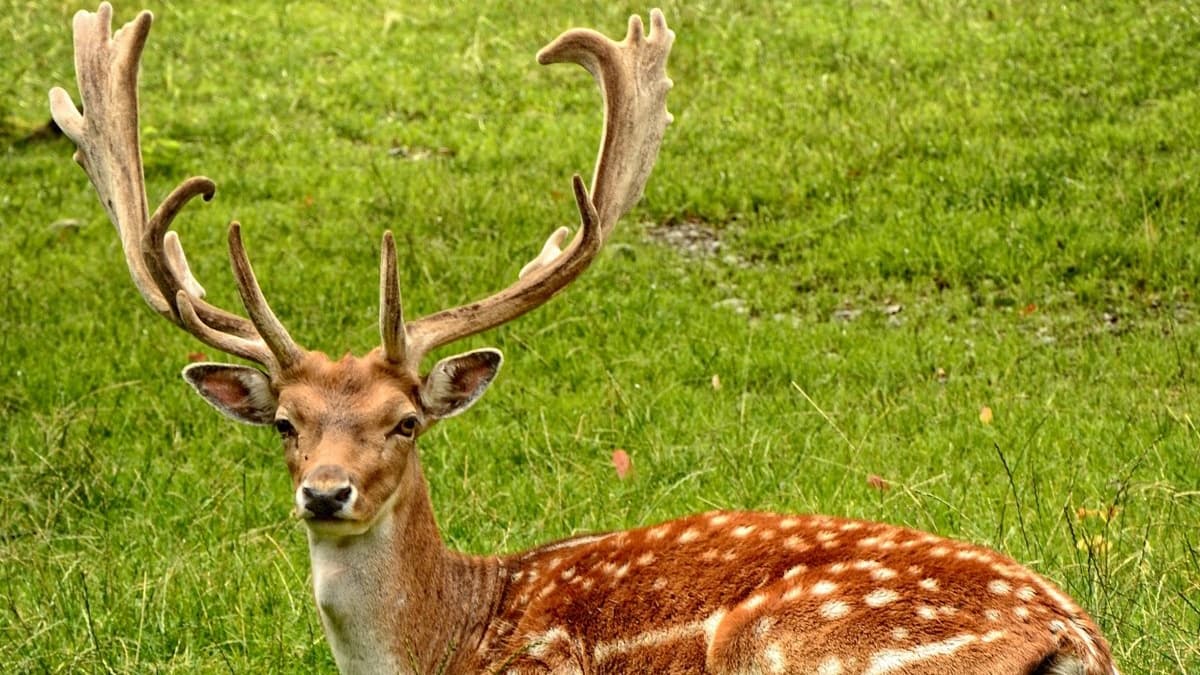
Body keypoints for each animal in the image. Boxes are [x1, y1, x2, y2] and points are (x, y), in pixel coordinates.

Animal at [49, 3, 1119, 674]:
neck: (451, 636)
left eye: (405, 421)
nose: (325, 491)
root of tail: (1079, 639)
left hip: (783, 643)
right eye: (285, 422)